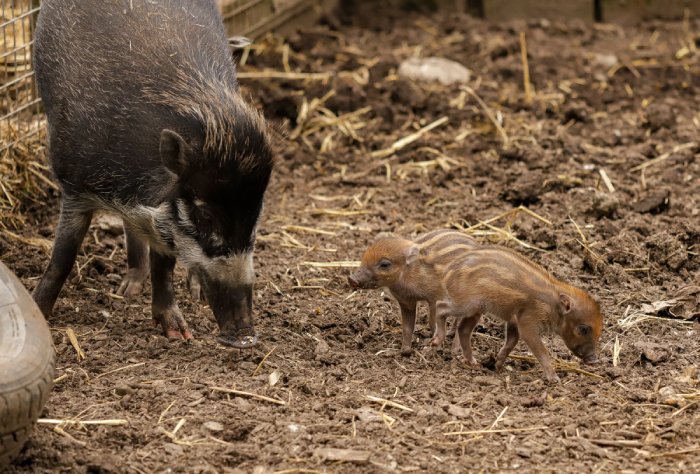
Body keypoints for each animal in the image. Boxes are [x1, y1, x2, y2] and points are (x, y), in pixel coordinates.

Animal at [32, 0, 274, 348]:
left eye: (256, 215)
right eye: (204, 214)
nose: (246, 337)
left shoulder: (163, 219)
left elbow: (165, 266)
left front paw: (179, 334)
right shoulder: (75, 185)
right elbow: (62, 258)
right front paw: (38, 312)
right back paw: (127, 290)